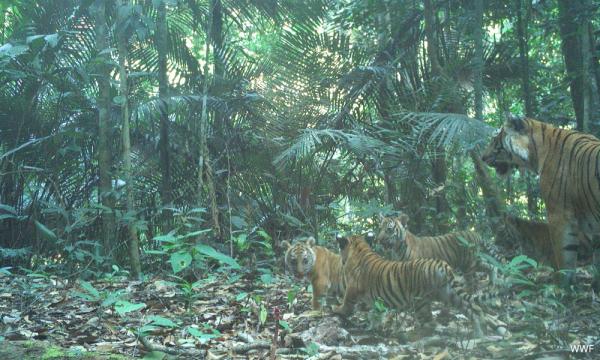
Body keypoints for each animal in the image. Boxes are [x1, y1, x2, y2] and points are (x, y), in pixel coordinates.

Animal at [330, 233, 504, 338]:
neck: (359, 248)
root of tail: (442, 265)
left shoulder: (351, 289)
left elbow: (347, 304)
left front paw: (336, 309)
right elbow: (376, 312)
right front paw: (374, 326)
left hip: (421, 301)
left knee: (430, 323)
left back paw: (412, 335)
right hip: (449, 294)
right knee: (472, 309)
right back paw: (479, 334)